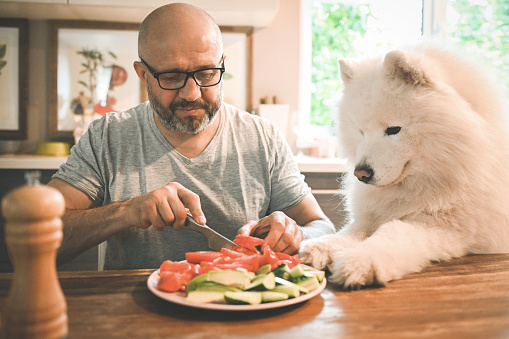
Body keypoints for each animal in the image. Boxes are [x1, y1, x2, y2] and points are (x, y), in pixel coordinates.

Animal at [298, 45, 508, 290]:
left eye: (393, 130)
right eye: (361, 131)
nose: (361, 173)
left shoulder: (445, 227)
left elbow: (392, 232)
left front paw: (359, 261)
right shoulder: (371, 216)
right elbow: (352, 231)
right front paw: (322, 246)